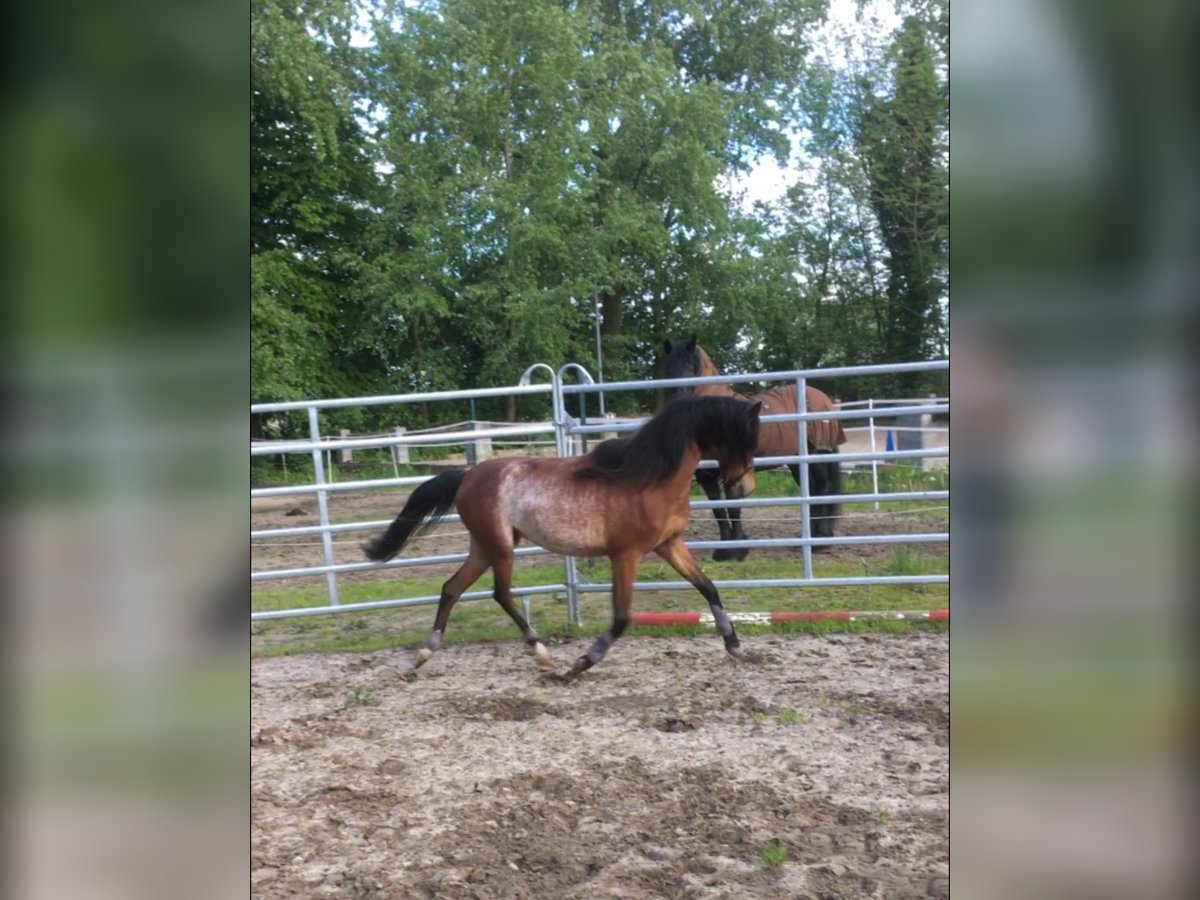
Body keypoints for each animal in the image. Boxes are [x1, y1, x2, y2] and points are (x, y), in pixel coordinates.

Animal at [362, 393, 758, 676]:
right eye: (743, 438)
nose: (743, 487)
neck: (647, 479)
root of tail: (467, 475)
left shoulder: (669, 545)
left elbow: (708, 587)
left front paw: (736, 646)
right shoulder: (625, 555)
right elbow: (621, 617)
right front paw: (580, 664)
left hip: (485, 546)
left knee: (451, 588)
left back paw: (424, 653)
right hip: (500, 548)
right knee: (500, 593)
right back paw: (542, 653)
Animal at [662, 340, 849, 564]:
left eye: (691, 367)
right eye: (668, 368)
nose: (677, 399)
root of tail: (823, 398)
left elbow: (733, 507)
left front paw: (736, 550)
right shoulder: (706, 475)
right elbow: (718, 509)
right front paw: (723, 550)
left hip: (816, 455)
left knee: (823, 490)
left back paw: (821, 541)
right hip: (796, 462)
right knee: (811, 491)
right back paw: (808, 538)